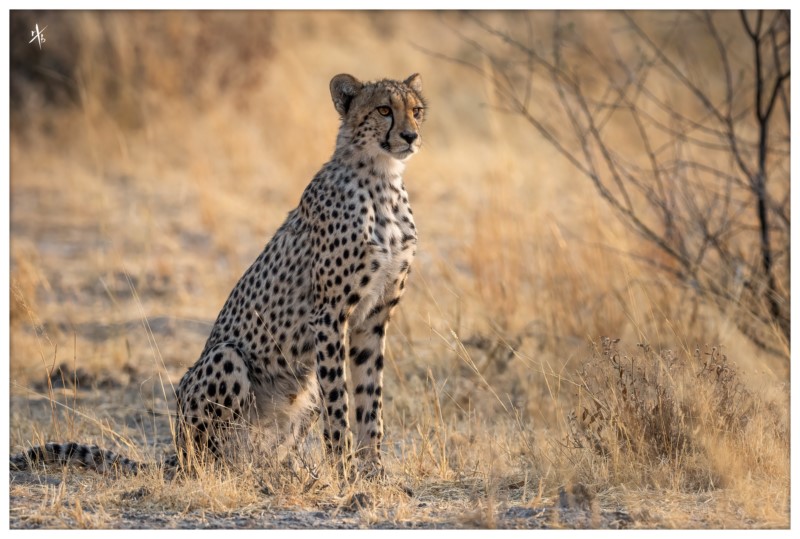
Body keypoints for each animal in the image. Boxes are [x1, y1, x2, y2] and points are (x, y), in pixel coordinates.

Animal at [10, 73, 424, 480]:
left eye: (417, 110)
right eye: (384, 110)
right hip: (227, 358)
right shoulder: (329, 314)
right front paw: (344, 473)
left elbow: (371, 401)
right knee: (212, 455)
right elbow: (340, 400)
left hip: (301, 390)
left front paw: (373, 473)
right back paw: (234, 472)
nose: (410, 136)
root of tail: (175, 453)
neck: (382, 179)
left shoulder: (372, 319)